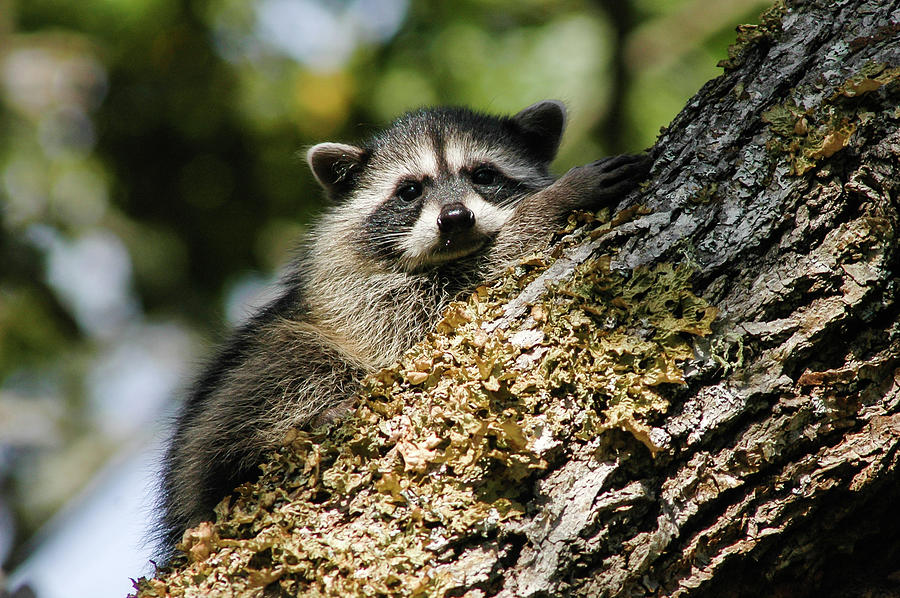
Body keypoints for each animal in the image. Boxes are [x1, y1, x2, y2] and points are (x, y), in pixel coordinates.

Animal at [155, 101, 648, 560]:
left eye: (484, 175)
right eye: (410, 190)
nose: (455, 217)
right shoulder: (354, 292)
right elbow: (434, 303)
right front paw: (553, 202)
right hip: (229, 411)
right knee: (293, 358)